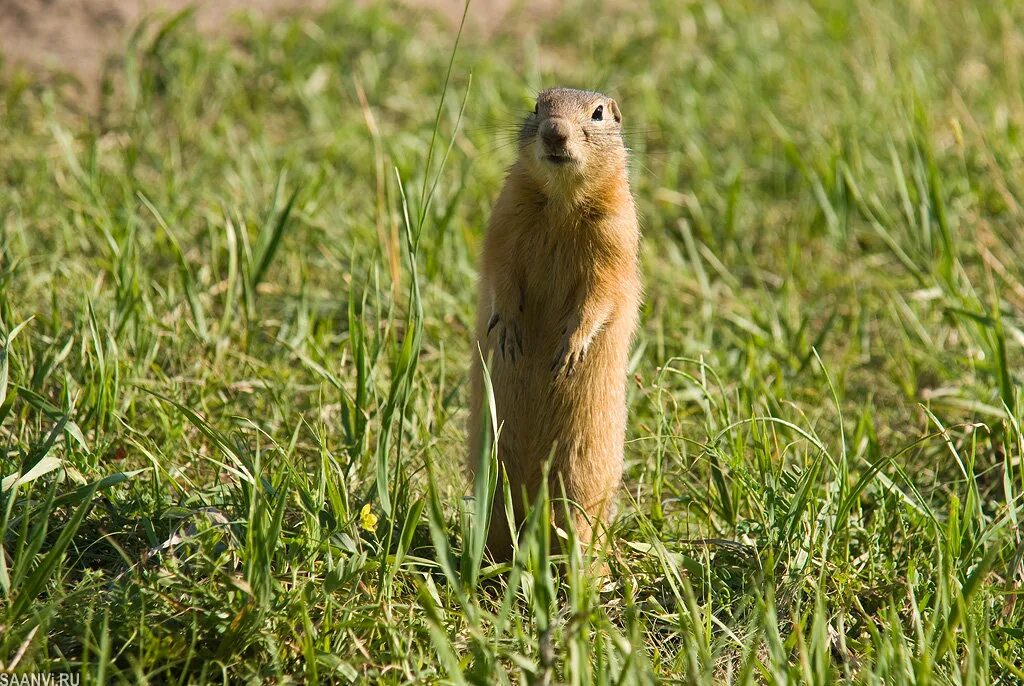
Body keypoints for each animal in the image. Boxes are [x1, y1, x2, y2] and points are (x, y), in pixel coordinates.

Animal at [466, 87, 638, 556]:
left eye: (598, 114)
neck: (562, 203)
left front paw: (570, 350)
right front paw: (508, 331)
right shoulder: (506, 217)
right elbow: (501, 270)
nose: (554, 131)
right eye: (536, 106)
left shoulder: (616, 235)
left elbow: (602, 293)